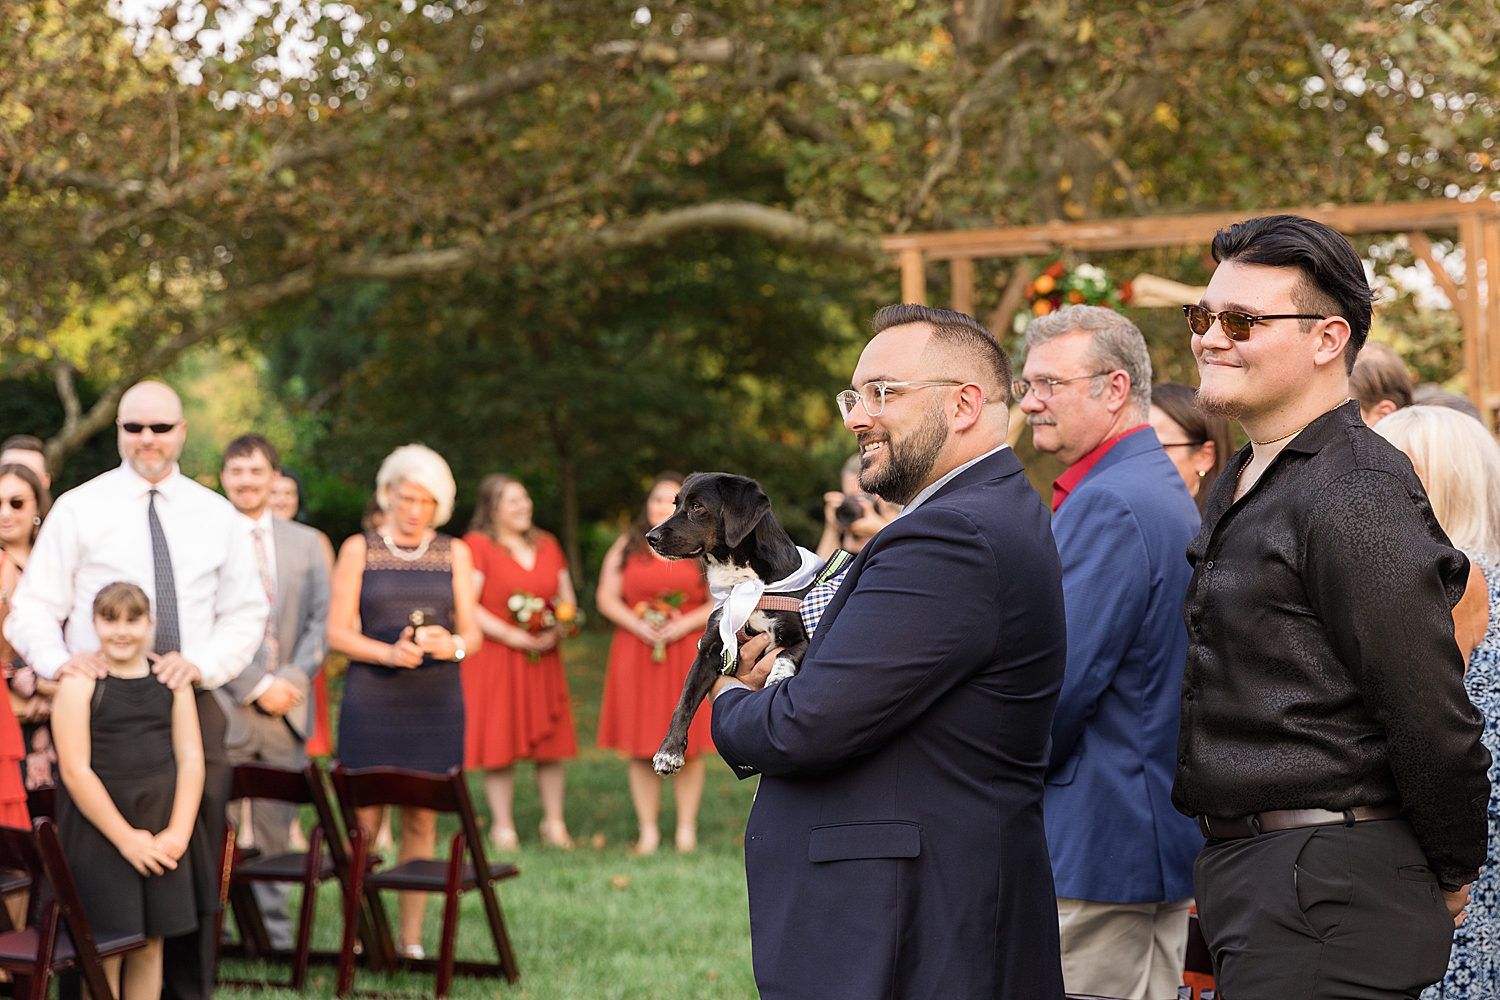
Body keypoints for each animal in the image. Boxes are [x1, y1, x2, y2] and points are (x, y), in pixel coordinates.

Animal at [648, 473, 834, 779]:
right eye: (675, 505)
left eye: (697, 507)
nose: (650, 537)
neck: (745, 583)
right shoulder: (709, 650)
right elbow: (684, 701)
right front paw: (668, 752)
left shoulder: (805, 636)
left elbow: (785, 653)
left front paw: (777, 677)